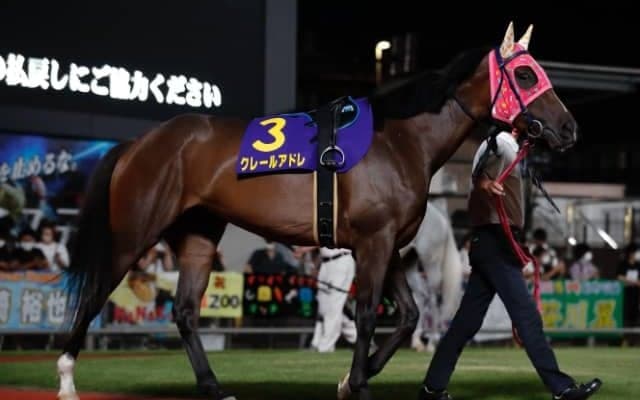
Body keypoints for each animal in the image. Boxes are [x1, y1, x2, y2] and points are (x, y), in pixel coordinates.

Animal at [57, 22, 578, 400]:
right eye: (526, 75)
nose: (569, 127)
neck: (399, 140)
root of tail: (139, 143)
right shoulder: (373, 242)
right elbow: (367, 314)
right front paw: (359, 384)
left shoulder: (388, 245)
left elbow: (406, 315)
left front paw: (353, 378)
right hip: (134, 233)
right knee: (95, 294)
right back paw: (65, 379)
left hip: (200, 234)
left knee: (185, 310)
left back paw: (212, 386)